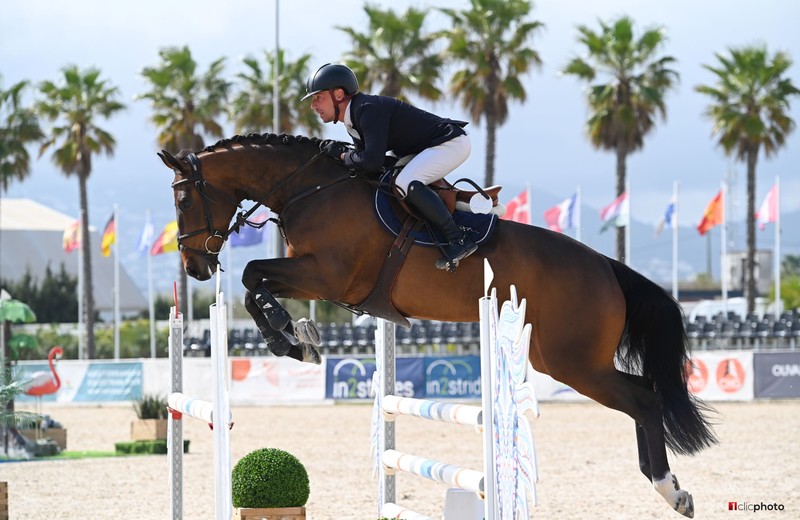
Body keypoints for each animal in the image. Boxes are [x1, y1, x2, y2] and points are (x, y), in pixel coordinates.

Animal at [156, 133, 712, 516]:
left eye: (183, 200)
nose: (194, 268)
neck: (309, 189)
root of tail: (607, 267)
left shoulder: (329, 276)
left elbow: (253, 274)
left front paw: (290, 339)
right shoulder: (316, 279)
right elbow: (254, 282)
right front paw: (298, 340)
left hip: (573, 362)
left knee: (644, 399)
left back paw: (671, 489)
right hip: (563, 358)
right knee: (643, 396)